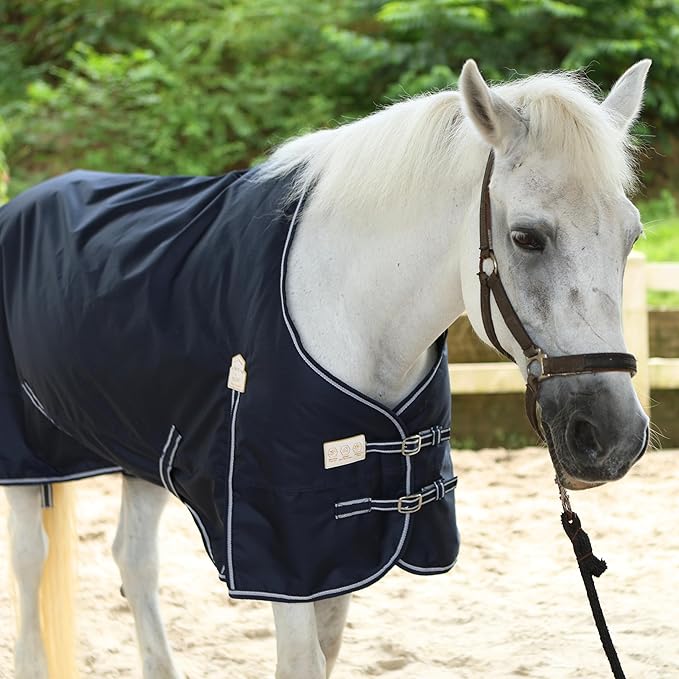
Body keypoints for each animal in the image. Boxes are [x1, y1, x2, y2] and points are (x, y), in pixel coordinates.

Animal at [2, 58, 651, 678]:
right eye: (526, 238)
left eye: (631, 237)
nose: (612, 436)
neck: (349, 310)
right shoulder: (280, 539)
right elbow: (300, 662)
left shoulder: (340, 541)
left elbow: (329, 647)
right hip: (28, 459)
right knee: (30, 560)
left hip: (148, 453)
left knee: (134, 561)